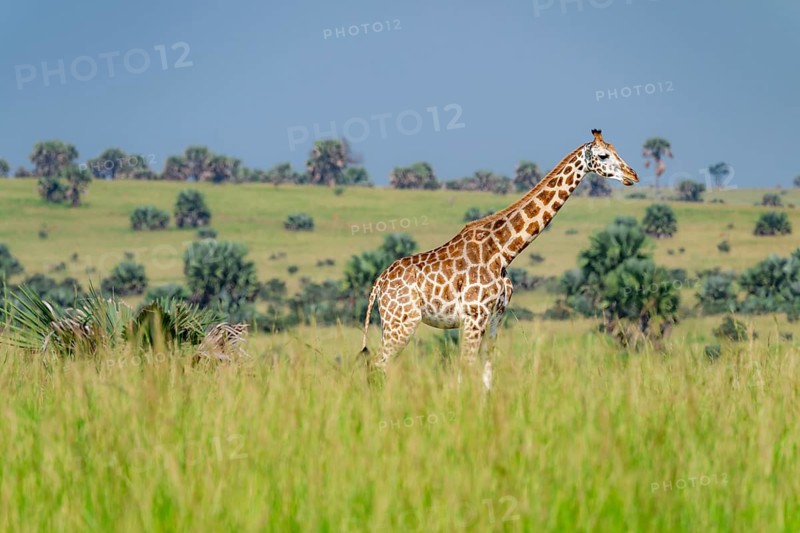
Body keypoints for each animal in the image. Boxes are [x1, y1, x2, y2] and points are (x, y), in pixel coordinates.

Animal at [360, 129, 639, 389]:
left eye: (615, 150)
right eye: (603, 156)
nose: (633, 175)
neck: (504, 252)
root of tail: (378, 284)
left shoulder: (496, 316)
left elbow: (486, 375)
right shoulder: (474, 315)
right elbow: (465, 370)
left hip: (392, 322)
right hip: (401, 321)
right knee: (377, 364)